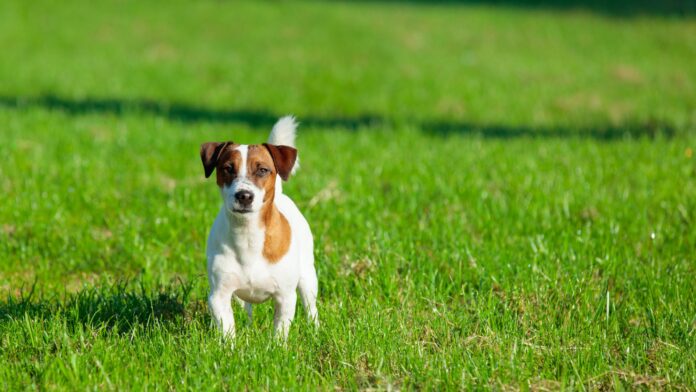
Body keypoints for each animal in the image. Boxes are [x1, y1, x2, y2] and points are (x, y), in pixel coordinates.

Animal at [201, 117, 318, 340]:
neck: (248, 236)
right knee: (245, 309)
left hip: (307, 276)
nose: (244, 196)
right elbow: (228, 330)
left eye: (263, 170)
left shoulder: (285, 297)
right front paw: (231, 347)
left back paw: (315, 330)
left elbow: (280, 331)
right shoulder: (219, 296)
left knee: (311, 307)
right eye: (228, 168)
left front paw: (277, 347)